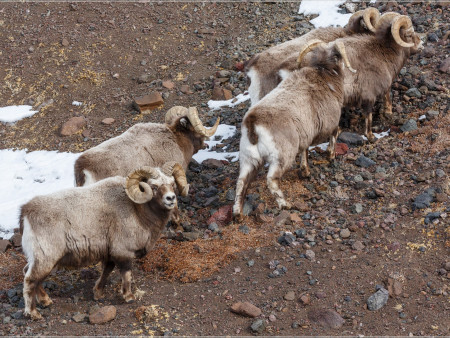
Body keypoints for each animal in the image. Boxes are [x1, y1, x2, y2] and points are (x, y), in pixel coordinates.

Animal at [19, 163, 186, 320]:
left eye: (172, 183)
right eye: (154, 186)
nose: (171, 198)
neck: (138, 211)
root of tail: (26, 212)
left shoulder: (110, 253)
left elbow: (107, 270)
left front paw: (98, 294)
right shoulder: (124, 252)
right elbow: (126, 274)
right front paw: (129, 297)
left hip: (42, 259)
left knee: (30, 275)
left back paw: (46, 301)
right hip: (46, 259)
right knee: (30, 280)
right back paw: (33, 313)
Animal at [232, 41, 348, 218]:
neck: (324, 74)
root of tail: (253, 123)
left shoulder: (306, 135)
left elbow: (305, 151)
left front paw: (305, 172)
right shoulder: (331, 124)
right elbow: (333, 136)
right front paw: (331, 156)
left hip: (249, 160)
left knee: (241, 182)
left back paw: (237, 213)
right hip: (281, 159)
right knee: (271, 180)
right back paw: (285, 205)